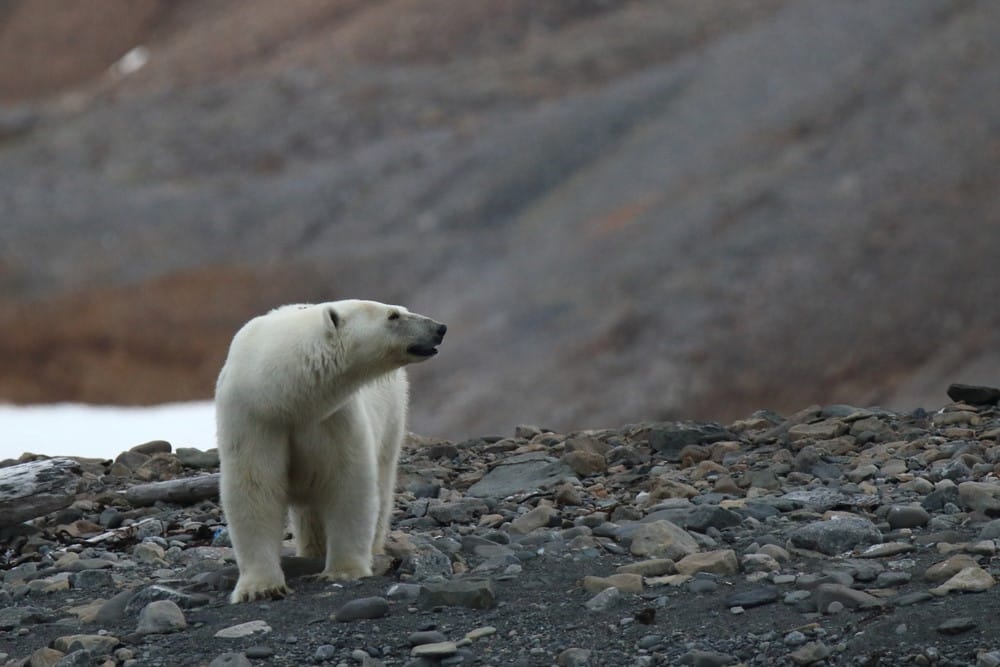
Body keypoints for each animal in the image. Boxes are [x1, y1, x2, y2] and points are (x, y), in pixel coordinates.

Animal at [217, 300, 448, 604]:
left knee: (382, 481)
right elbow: (254, 487)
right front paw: (260, 587)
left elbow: (347, 483)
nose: (440, 328)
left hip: (392, 416)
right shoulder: (253, 418)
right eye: (393, 315)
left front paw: (343, 570)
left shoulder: (336, 416)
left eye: (400, 309)